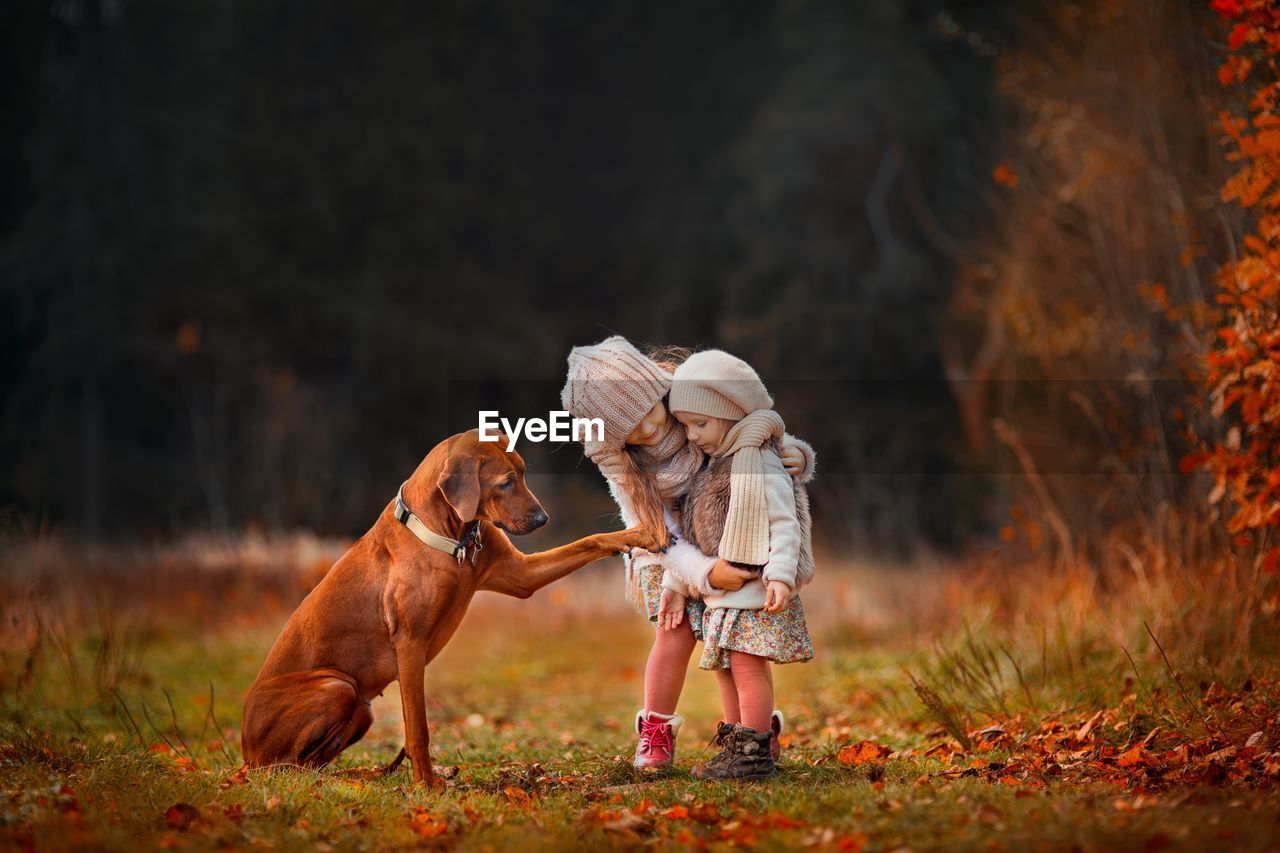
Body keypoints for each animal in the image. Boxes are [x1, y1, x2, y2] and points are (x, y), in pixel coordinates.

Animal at [240, 427, 660, 778]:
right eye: (505, 482)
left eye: (523, 473)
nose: (543, 518)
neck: (450, 535)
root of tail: (245, 752)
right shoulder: (410, 645)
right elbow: (418, 729)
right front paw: (426, 786)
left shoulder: (521, 576)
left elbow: (589, 541)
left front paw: (640, 534)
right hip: (336, 686)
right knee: (286, 765)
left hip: (361, 708)